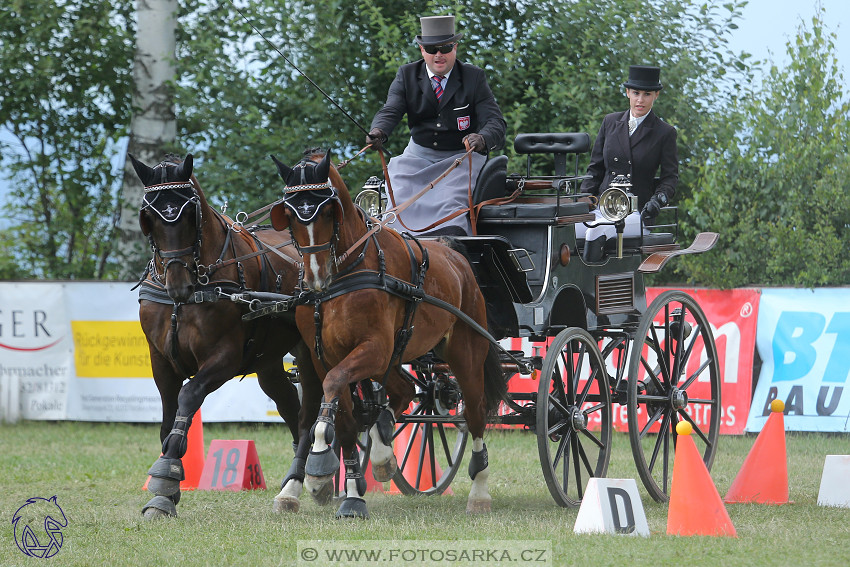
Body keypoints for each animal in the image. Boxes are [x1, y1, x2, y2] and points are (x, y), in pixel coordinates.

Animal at [129, 154, 322, 520]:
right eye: (149, 217)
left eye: (190, 213)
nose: (177, 284)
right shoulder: (160, 360)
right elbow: (166, 418)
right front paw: (167, 488)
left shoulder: (224, 358)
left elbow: (189, 396)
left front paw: (166, 478)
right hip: (268, 361)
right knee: (289, 404)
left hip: (311, 352)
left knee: (311, 414)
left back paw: (296, 486)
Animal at [268, 150, 504, 520]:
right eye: (289, 215)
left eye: (328, 211)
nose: (316, 277)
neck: (343, 276)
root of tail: (456, 256)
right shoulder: (325, 356)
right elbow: (345, 420)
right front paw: (349, 494)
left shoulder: (374, 348)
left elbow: (335, 387)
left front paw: (320, 465)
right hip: (395, 357)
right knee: (404, 390)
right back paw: (382, 450)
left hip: (465, 353)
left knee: (475, 412)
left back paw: (479, 492)